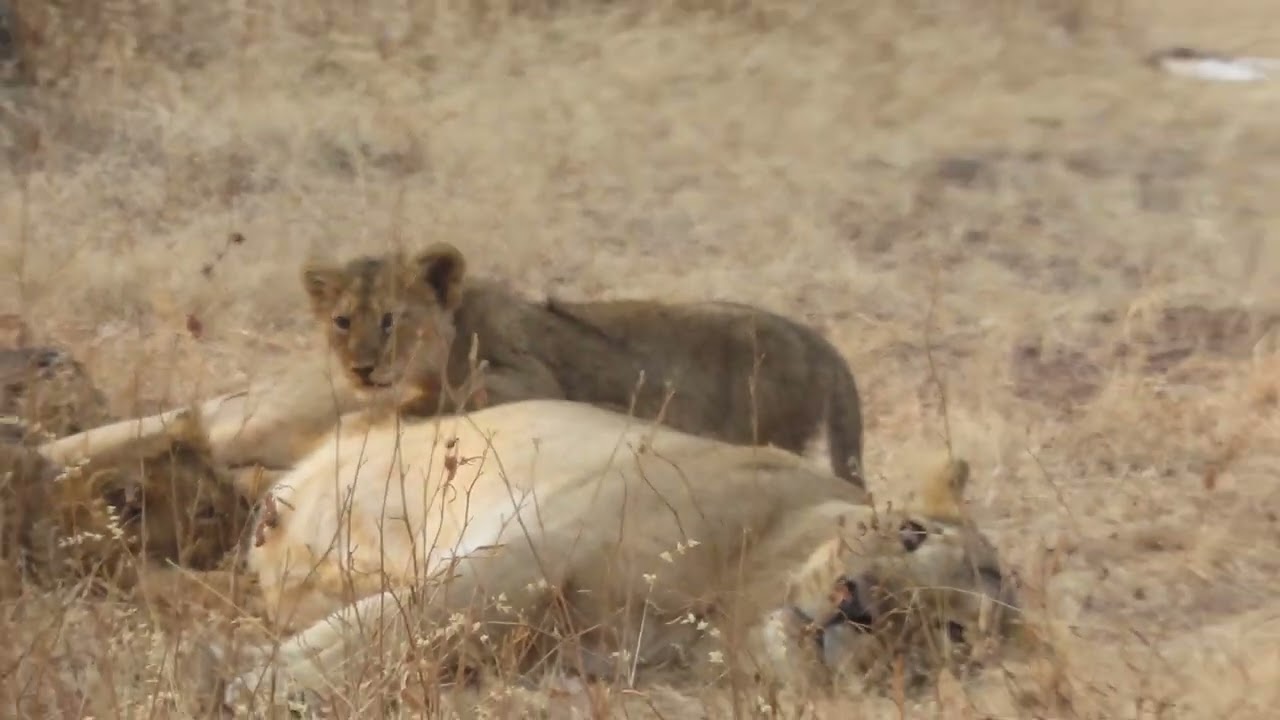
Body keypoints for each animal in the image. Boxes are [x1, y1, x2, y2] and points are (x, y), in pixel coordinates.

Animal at [219, 399, 1019, 708]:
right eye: (911, 532)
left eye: (951, 634)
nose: (857, 604)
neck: (738, 599)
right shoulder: (529, 551)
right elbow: (391, 627)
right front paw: (249, 683)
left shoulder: (586, 654)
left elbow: (414, 640)